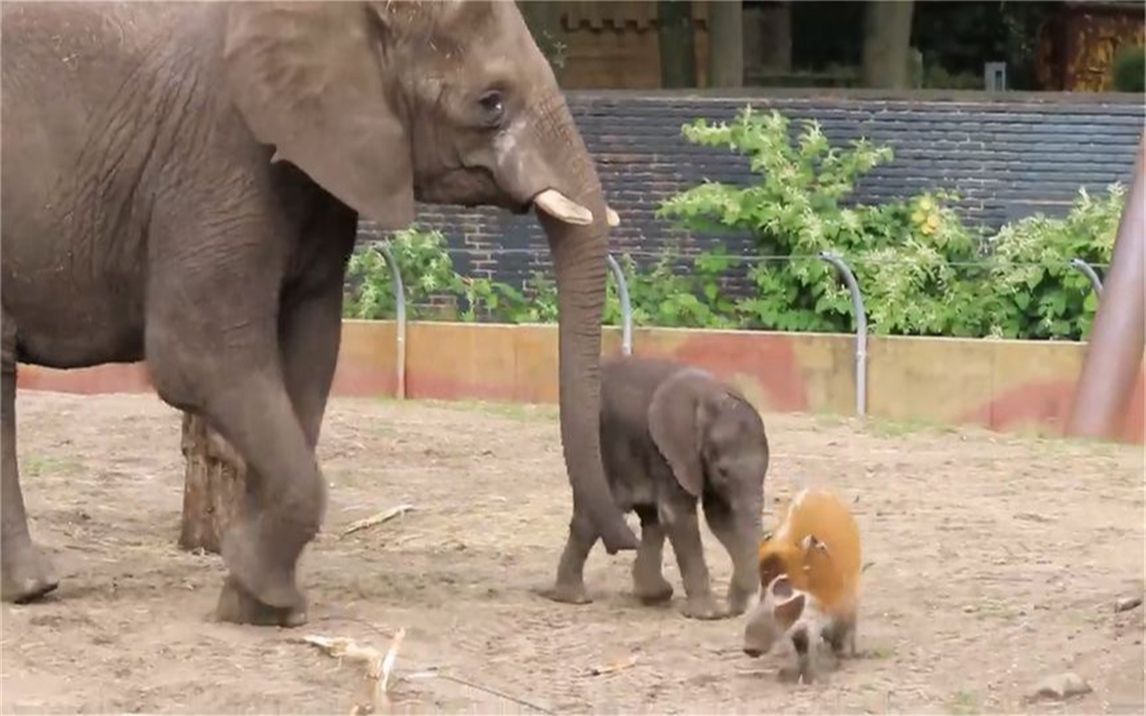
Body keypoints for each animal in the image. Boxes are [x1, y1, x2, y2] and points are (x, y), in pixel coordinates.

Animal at [2, 0, 637, 623]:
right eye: (491, 102)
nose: (581, 579)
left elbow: (308, 355)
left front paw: (251, 601)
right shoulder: (217, 155)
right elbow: (198, 355)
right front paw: (268, 595)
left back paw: (30, 587)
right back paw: (34, 589)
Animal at [545, 355, 770, 618]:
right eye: (722, 472)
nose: (733, 609)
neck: (711, 395)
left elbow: (720, 519)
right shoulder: (670, 450)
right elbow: (679, 515)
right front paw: (709, 615)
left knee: (647, 518)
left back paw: (653, 595)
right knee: (597, 515)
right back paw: (577, 598)